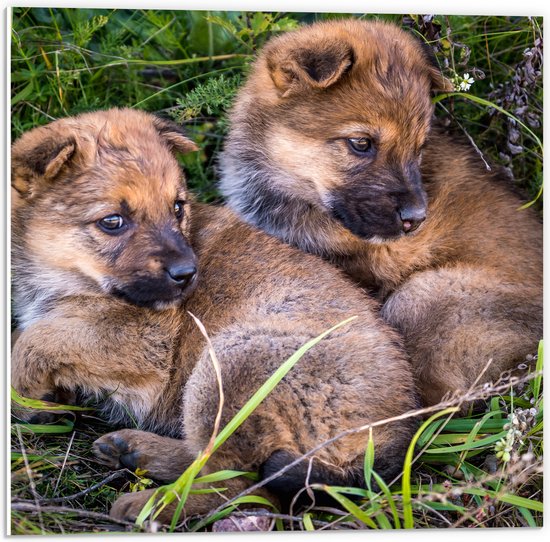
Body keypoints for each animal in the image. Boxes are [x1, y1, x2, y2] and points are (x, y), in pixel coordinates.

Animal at [10, 109, 418, 524]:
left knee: (235, 486)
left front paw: (24, 399)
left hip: (228, 365)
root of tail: (392, 438)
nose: (188, 273)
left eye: (177, 207)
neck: (59, 278)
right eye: (112, 221)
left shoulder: (141, 343)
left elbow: (36, 340)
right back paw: (135, 450)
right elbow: (31, 334)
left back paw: (148, 504)